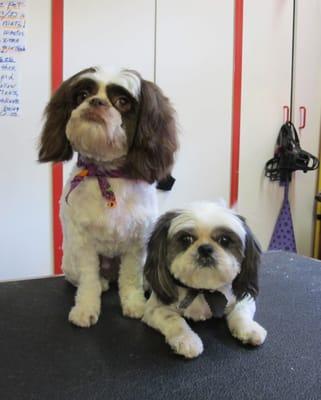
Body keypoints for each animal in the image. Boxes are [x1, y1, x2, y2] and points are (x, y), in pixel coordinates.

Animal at [38, 67, 178, 326]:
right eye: (82, 94)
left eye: (122, 101)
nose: (96, 101)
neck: (108, 175)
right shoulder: (83, 241)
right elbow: (89, 280)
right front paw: (85, 309)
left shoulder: (137, 241)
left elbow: (130, 277)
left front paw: (135, 304)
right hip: (70, 261)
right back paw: (103, 283)